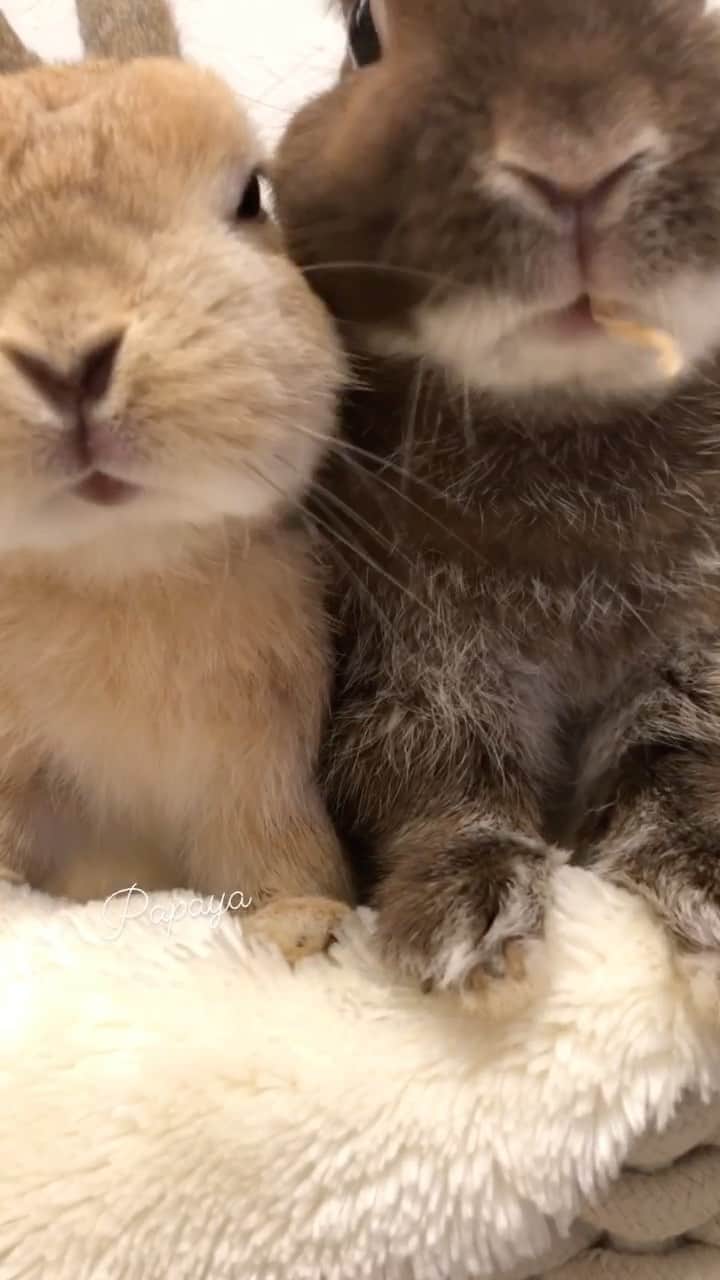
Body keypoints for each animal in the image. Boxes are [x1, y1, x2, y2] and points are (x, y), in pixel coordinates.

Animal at [0, 0, 354, 951]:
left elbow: (281, 868)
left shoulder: (262, 786)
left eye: (251, 197)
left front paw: (298, 931)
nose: (67, 361)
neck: (119, 572)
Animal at [272, 0, 720, 989]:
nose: (575, 155)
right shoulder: (410, 667)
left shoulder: (694, 651)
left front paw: (704, 897)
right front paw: (467, 929)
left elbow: (675, 758)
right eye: (364, 35)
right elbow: (442, 782)